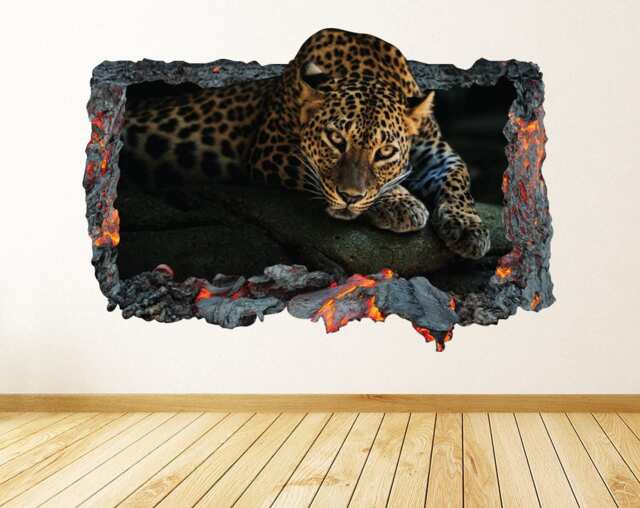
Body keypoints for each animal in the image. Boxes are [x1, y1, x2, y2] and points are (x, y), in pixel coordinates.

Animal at [118, 28, 491, 259]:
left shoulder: (437, 152)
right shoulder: (270, 150)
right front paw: (401, 203)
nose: (350, 198)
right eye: (336, 139)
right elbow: (319, 174)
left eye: (385, 152)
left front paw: (470, 228)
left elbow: (459, 177)